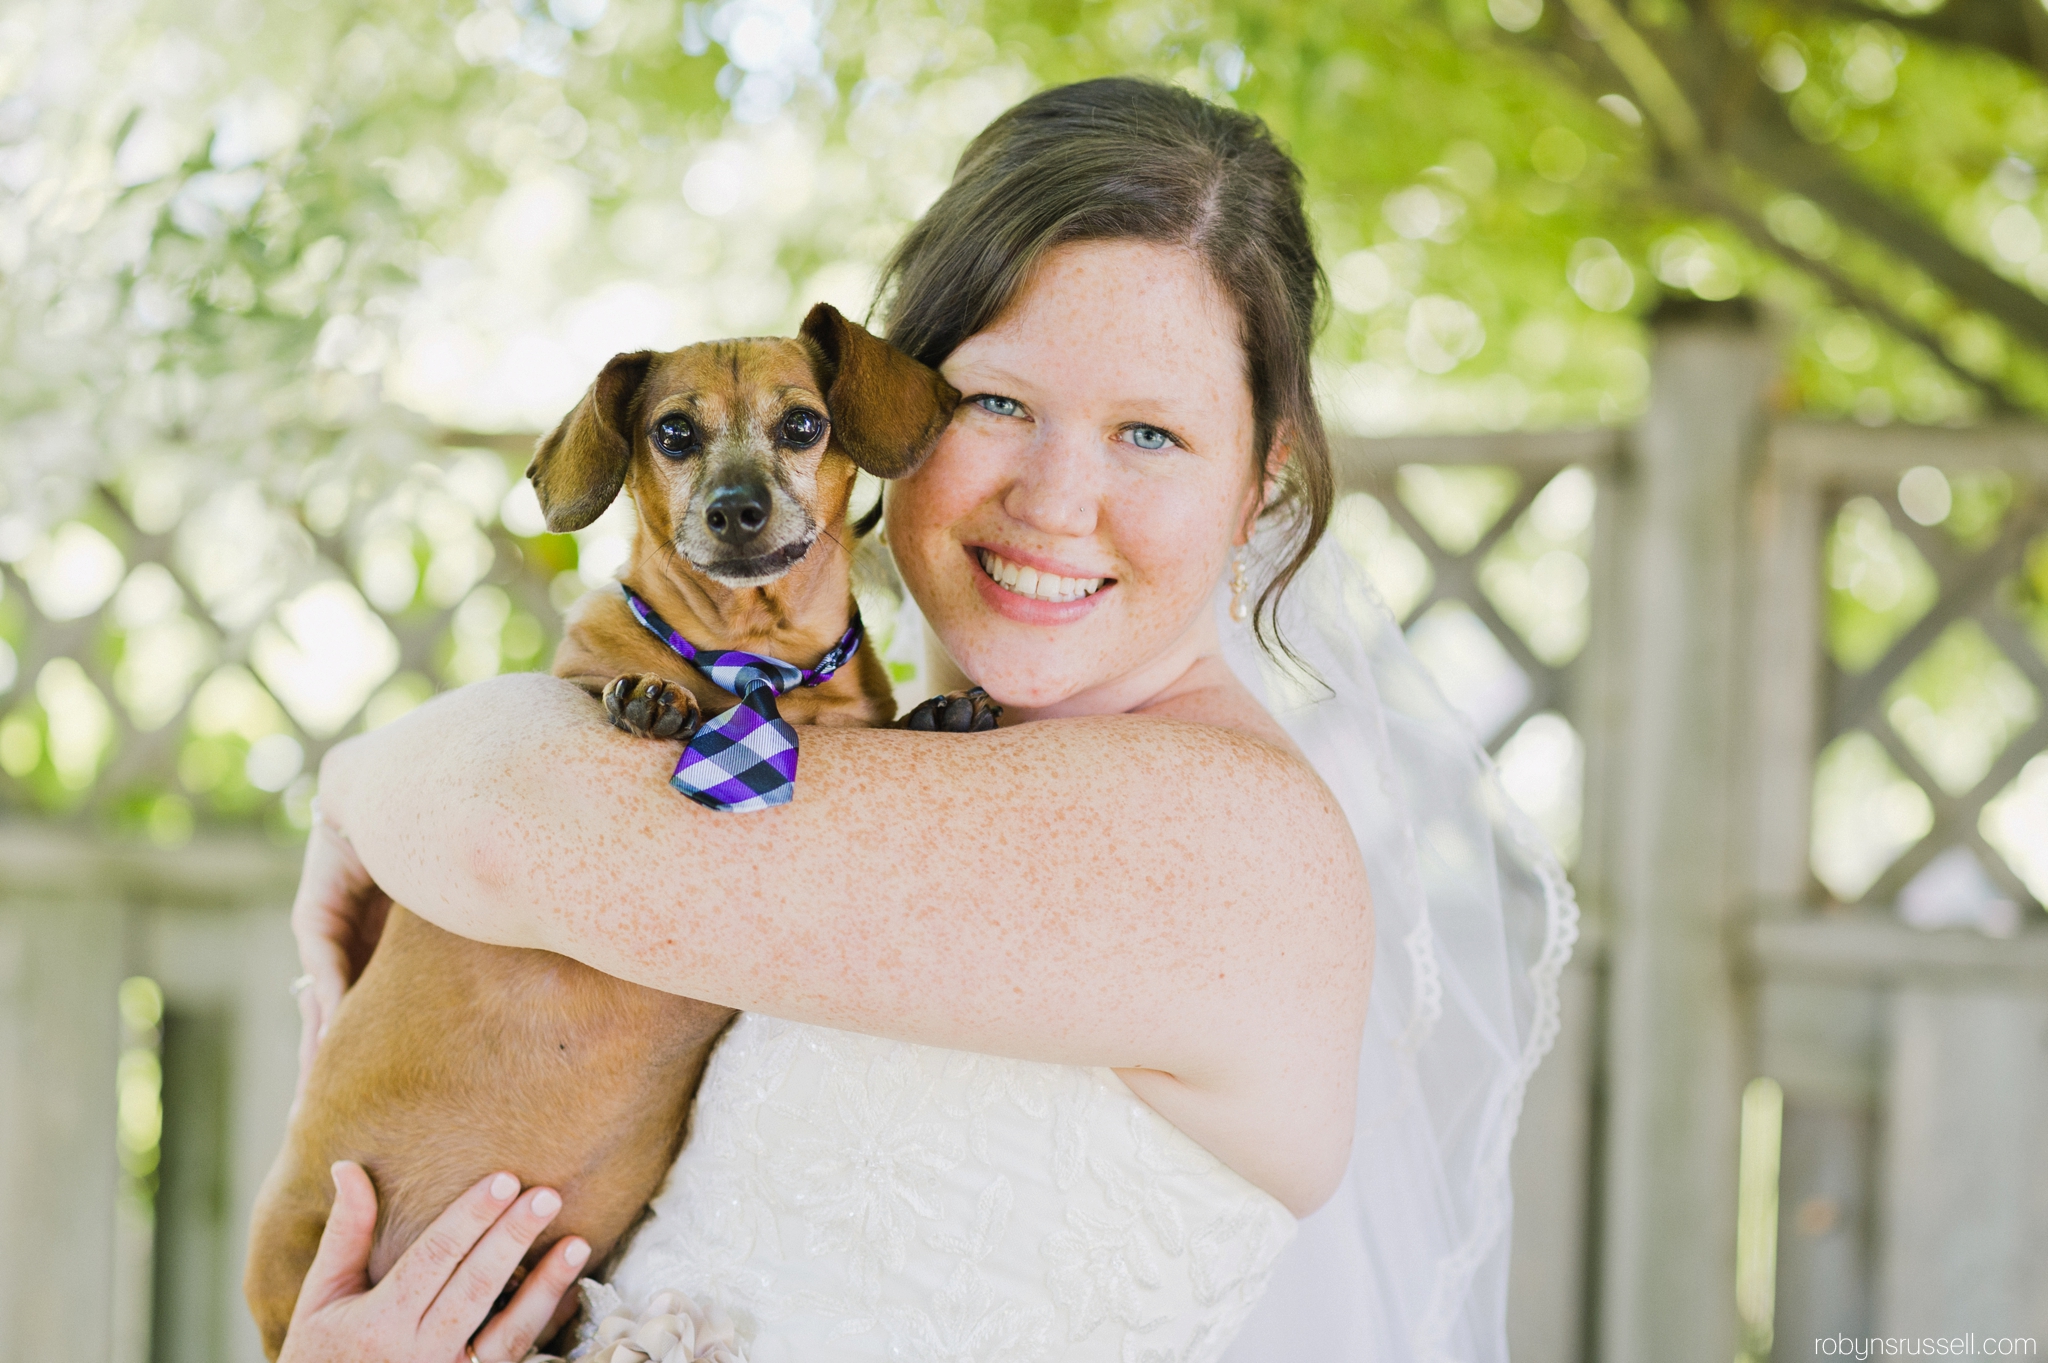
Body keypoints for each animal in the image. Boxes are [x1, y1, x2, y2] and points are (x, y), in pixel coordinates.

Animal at [247, 302, 999, 1350]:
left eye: (804, 423)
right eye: (672, 432)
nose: (734, 509)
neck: (756, 662)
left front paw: (943, 713)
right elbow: (603, 681)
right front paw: (643, 693)